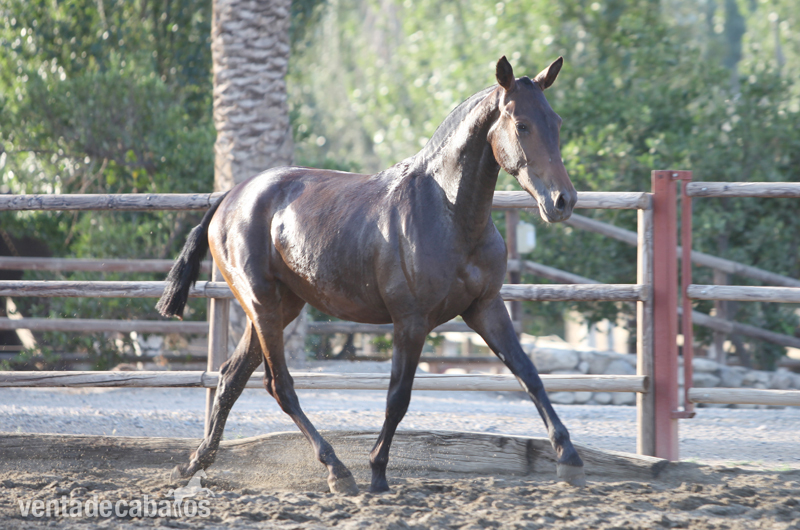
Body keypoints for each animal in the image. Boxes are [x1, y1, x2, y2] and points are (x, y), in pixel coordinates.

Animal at [157, 56, 584, 494]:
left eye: (556, 121)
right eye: (522, 125)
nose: (563, 201)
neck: (448, 213)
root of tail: (230, 197)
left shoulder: (486, 308)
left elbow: (528, 374)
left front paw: (569, 458)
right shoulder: (411, 321)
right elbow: (398, 397)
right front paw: (378, 471)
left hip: (282, 306)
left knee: (231, 377)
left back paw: (194, 464)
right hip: (261, 304)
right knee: (279, 386)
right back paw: (337, 471)